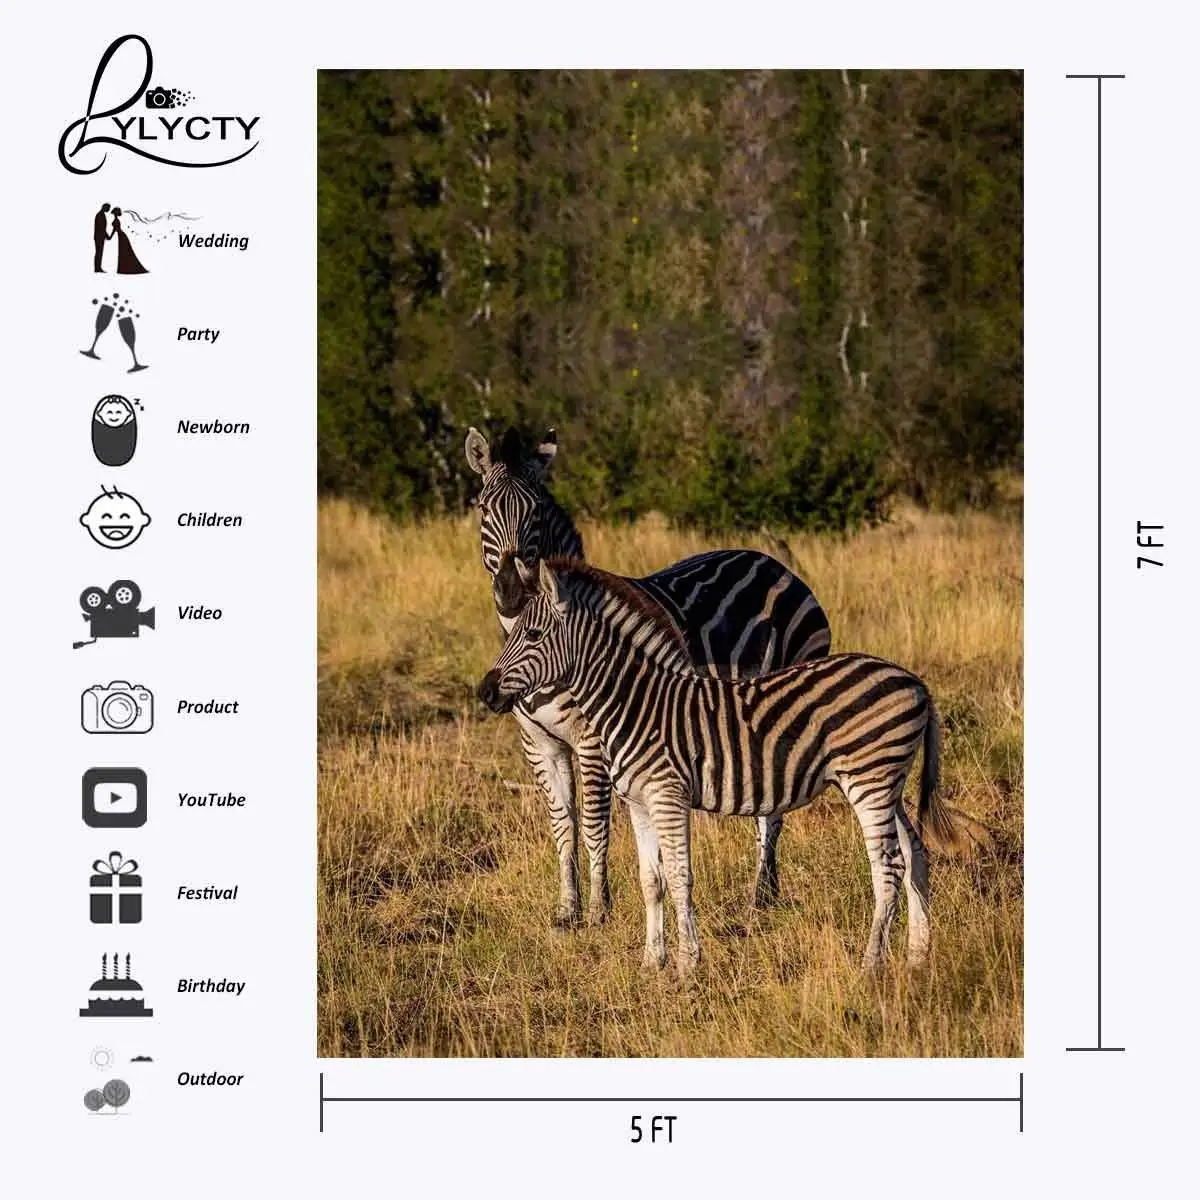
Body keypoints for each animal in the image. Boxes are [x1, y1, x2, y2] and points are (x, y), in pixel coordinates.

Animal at [465, 426, 831, 926]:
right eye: (484, 507)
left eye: (536, 510)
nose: (510, 590)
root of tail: (772, 563)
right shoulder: (538, 744)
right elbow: (563, 824)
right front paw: (567, 909)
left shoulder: (593, 740)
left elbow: (594, 822)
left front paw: (599, 909)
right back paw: (766, 892)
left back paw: (761, 894)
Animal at [478, 559, 955, 974]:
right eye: (514, 632)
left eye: (533, 634)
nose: (484, 691)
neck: (635, 703)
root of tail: (915, 681)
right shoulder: (638, 802)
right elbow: (651, 881)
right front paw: (652, 962)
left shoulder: (668, 796)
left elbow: (679, 877)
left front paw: (688, 962)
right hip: (888, 785)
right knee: (915, 856)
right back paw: (918, 955)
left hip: (870, 781)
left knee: (887, 869)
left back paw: (871, 965)